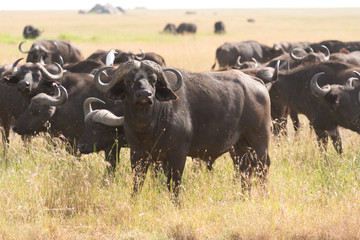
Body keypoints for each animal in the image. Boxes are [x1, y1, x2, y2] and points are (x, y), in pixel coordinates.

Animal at [94, 60, 272, 199]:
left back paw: (263, 196)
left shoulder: (178, 154)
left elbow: (174, 184)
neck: (148, 126)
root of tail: (256, 82)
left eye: (153, 80)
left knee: (263, 167)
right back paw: (244, 196)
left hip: (260, 140)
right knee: (246, 169)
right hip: (240, 145)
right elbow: (138, 182)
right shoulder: (137, 154)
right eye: (129, 80)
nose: (145, 94)